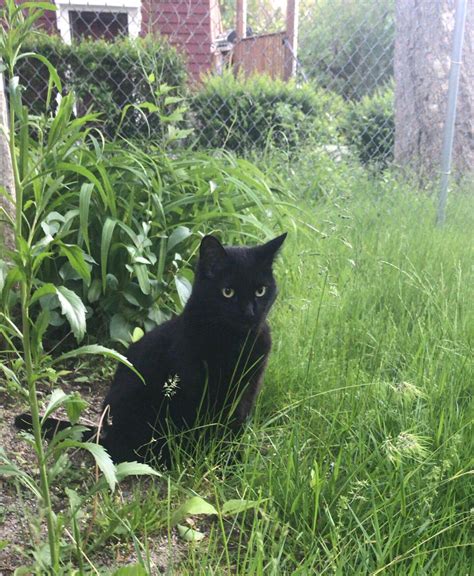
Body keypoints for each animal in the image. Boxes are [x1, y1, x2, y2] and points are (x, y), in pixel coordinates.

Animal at [15, 233, 286, 464]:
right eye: (227, 292)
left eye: (260, 291)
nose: (249, 313)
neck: (236, 342)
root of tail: (104, 431)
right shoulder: (194, 387)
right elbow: (202, 428)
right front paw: (210, 459)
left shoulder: (248, 389)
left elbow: (236, 424)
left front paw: (234, 458)